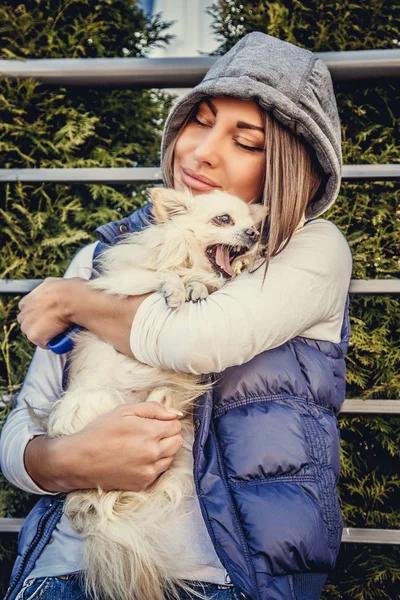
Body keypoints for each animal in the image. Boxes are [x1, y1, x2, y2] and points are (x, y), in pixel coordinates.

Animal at [47, 188, 264, 600]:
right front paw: (180, 284)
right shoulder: (126, 280)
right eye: (224, 219)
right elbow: (162, 275)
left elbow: (212, 281)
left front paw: (207, 281)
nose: (256, 235)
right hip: (95, 402)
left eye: (255, 223)